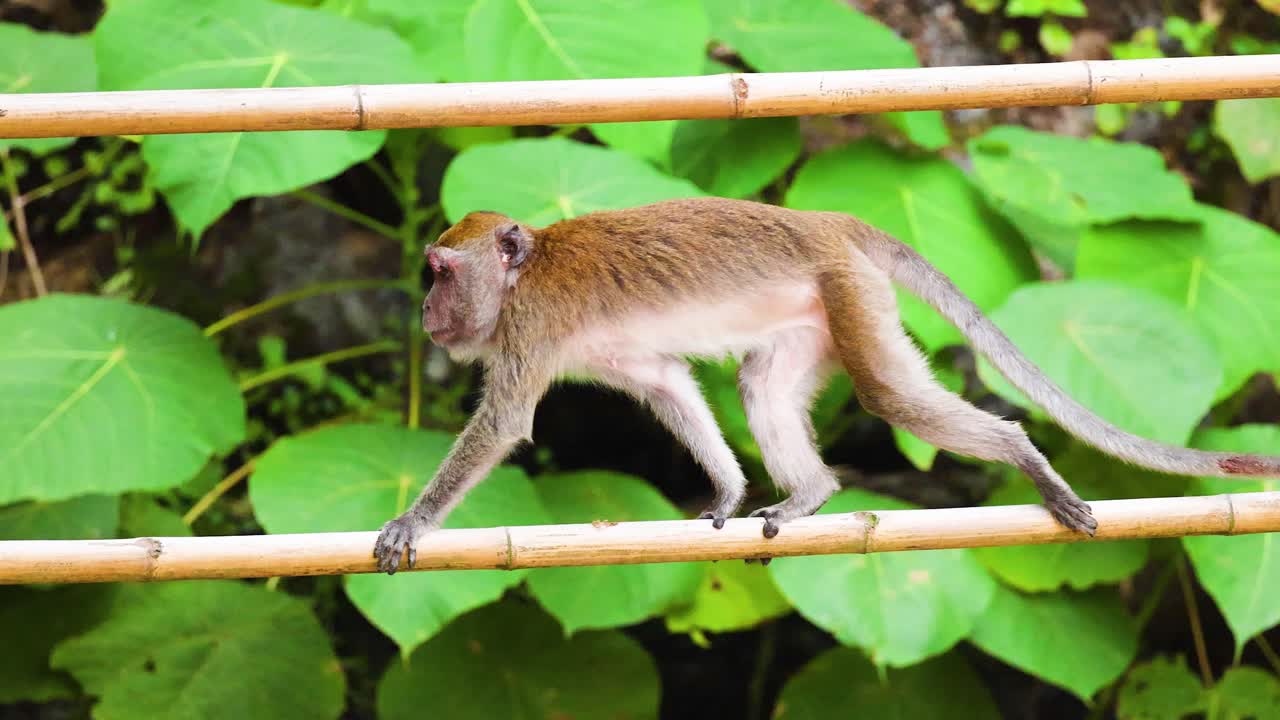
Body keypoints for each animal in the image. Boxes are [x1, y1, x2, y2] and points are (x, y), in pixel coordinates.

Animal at [372, 196, 1280, 574]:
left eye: (440, 272)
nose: (424, 309)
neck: (522, 279)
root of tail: (833, 222)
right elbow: (665, 383)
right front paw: (727, 488)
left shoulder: (527, 331)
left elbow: (503, 426)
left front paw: (412, 522)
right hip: (816, 314)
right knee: (762, 385)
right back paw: (810, 494)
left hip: (849, 291)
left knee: (891, 398)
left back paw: (1026, 458)